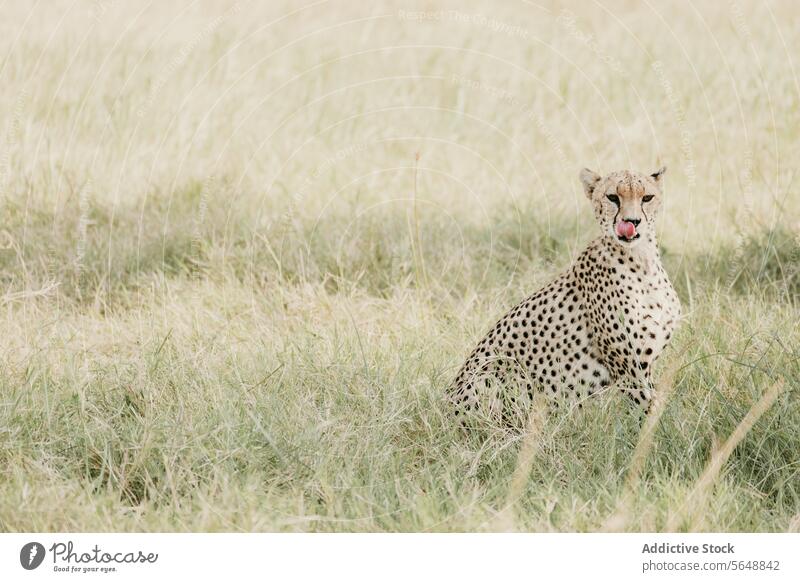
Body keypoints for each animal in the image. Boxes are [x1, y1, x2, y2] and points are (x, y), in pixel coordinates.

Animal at [450, 165, 680, 424]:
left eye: (647, 198)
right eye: (613, 197)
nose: (632, 222)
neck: (642, 260)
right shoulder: (629, 367)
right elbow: (648, 410)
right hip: (499, 374)